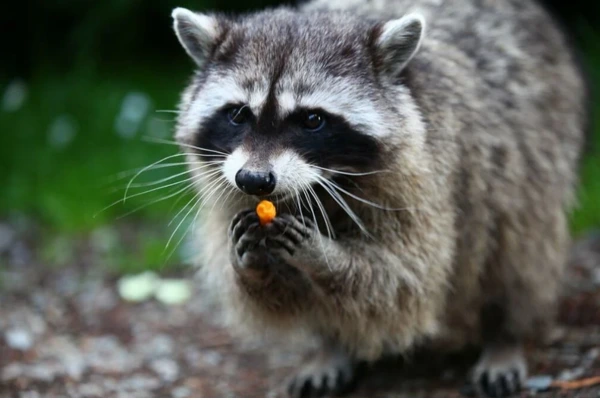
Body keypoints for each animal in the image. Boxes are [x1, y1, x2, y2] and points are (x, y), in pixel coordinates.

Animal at [169, 0, 584, 396]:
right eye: (238, 114)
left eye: (312, 120)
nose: (255, 181)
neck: (321, 184)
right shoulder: (228, 185)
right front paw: (249, 264)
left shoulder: (426, 173)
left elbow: (404, 278)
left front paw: (325, 256)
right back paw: (332, 347)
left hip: (533, 158)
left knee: (519, 252)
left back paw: (506, 335)